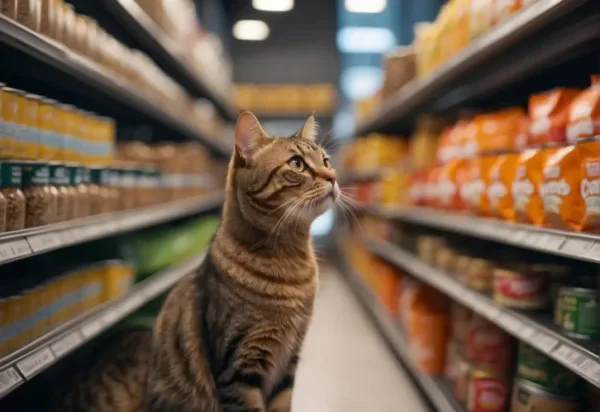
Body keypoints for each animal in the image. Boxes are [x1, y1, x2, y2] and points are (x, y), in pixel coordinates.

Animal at [51, 112, 338, 412]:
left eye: (326, 160)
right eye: (297, 164)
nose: (333, 176)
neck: (291, 261)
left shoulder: (288, 364)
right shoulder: (239, 369)